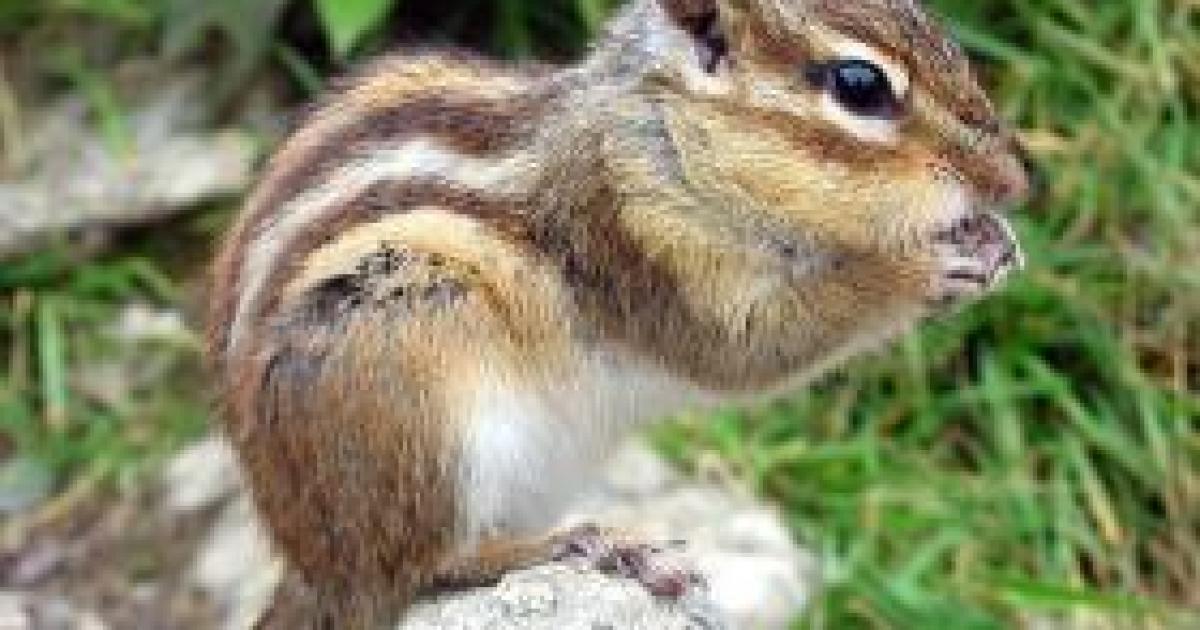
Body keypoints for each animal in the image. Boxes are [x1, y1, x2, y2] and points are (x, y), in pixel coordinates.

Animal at [207, 0, 1028, 626]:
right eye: (859, 85)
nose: (1018, 180)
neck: (664, 137)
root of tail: (314, 564)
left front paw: (993, 238)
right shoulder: (634, 242)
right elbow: (753, 349)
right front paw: (916, 269)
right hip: (412, 374)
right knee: (423, 566)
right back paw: (594, 548)